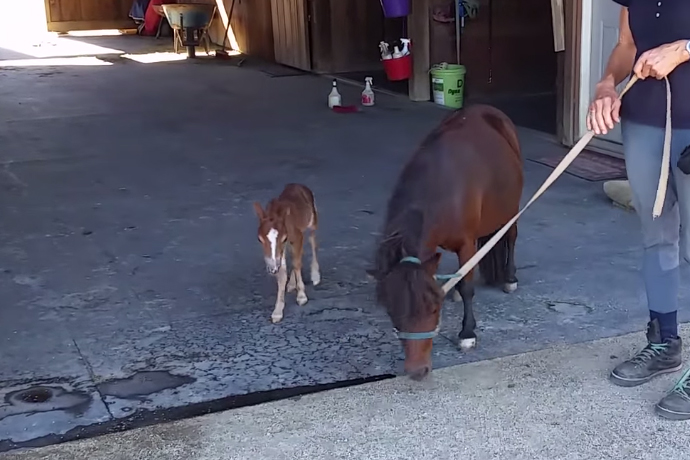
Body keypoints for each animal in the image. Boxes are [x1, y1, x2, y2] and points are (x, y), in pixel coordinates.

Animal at [254, 183, 322, 324]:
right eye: (259, 239)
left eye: (284, 238)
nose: (272, 268)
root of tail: (299, 185)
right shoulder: (280, 251)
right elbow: (282, 274)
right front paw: (277, 312)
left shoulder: (297, 237)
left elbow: (297, 263)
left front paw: (301, 296)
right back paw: (291, 284)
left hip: (313, 221)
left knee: (313, 242)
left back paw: (315, 275)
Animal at [366, 104, 520, 380]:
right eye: (392, 312)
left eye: (433, 310)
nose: (417, 371)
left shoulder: (467, 243)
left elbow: (468, 287)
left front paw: (467, 334)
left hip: (510, 210)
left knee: (510, 237)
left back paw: (510, 278)